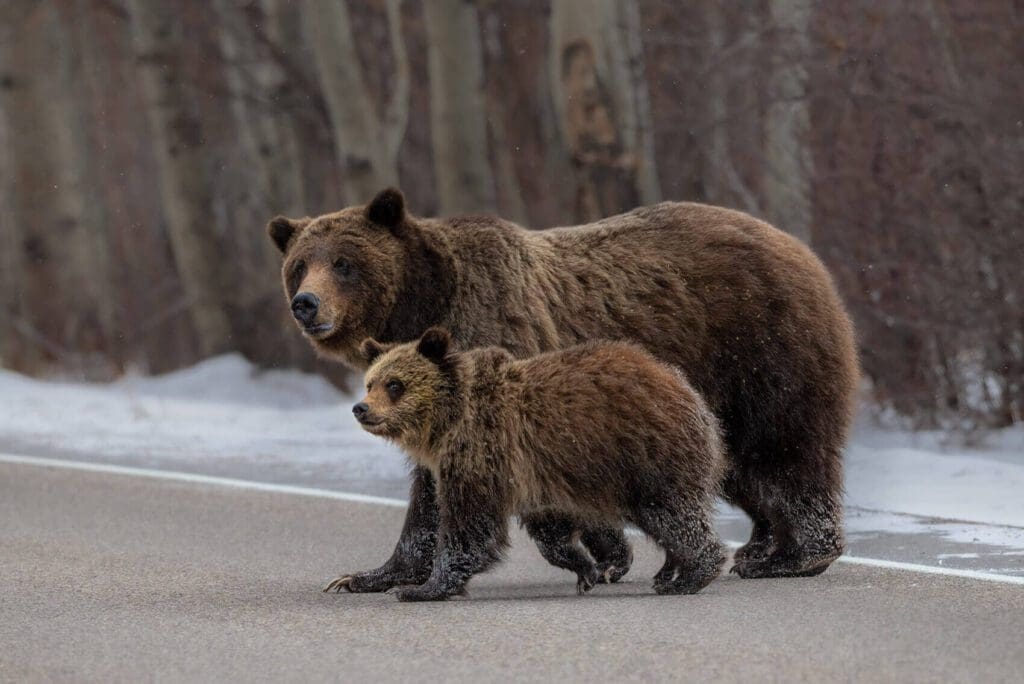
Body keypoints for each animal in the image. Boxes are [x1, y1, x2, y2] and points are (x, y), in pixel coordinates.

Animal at [337, 327, 729, 602]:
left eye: (395, 384)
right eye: (370, 382)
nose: (361, 408)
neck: (449, 421)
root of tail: (681, 383)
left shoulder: (483, 453)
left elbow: (470, 525)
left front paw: (423, 587)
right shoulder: (533, 471)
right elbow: (550, 528)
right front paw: (586, 567)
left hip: (645, 454)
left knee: (670, 513)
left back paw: (693, 573)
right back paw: (668, 572)